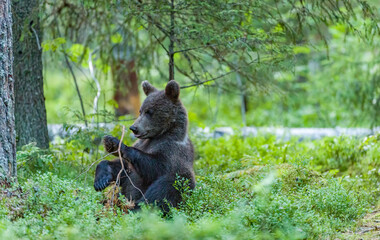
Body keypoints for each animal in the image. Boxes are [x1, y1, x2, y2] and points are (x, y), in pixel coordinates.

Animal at [94, 79, 196, 211]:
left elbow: (156, 166)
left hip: (181, 180)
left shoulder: (172, 150)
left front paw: (119, 144)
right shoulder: (141, 145)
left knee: (162, 190)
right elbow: (123, 167)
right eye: (140, 111)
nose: (134, 128)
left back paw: (134, 208)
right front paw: (101, 179)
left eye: (150, 111)